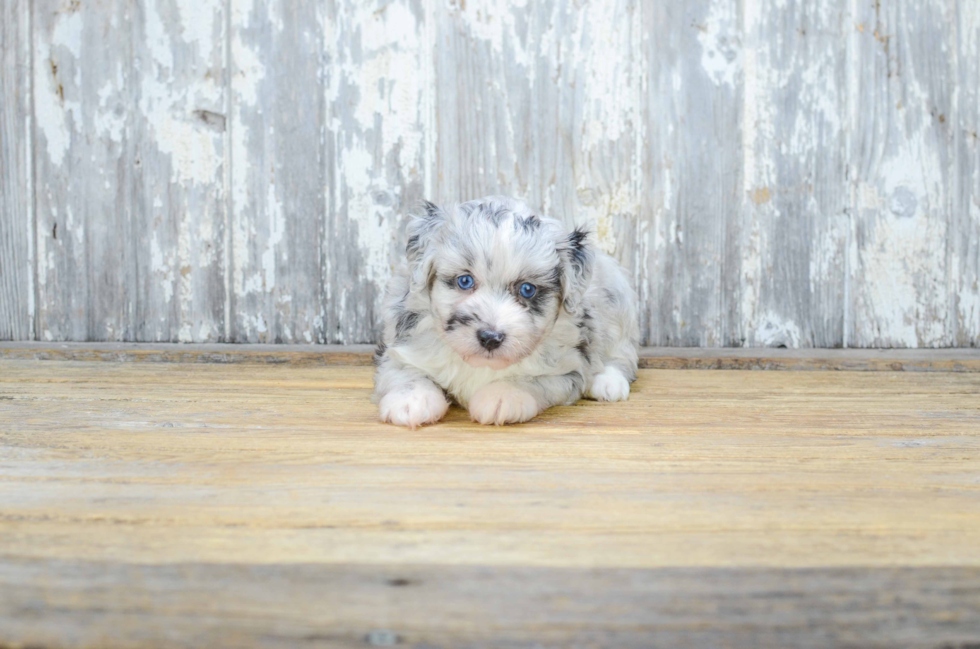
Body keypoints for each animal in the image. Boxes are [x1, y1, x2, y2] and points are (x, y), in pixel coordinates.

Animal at [372, 194, 640, 426]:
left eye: (527, 289)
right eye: (465, 281)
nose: (490, 338)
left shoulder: (566, 370)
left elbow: (530, 381)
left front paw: (502, 396)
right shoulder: (400, 347)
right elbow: (406, 372)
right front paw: (411, 400)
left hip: (618, 303)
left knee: (621, 353)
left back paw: (608, 381)